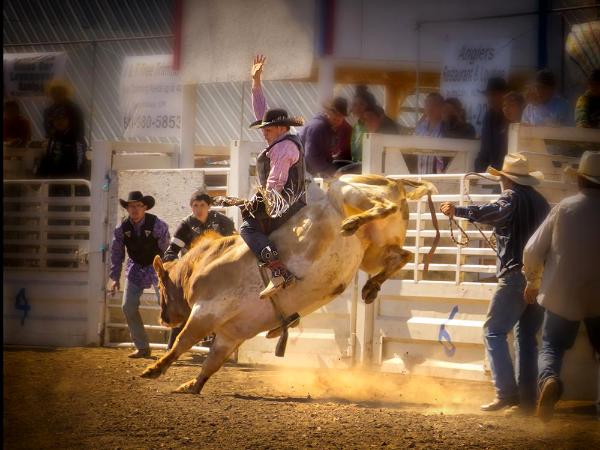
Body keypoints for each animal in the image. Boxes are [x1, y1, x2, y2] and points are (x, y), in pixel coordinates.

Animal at [143, 174, 438, 392]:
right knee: (402, 256)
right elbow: (212, 362)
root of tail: (394, 181)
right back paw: (370, 287)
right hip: (375, 249)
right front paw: (191, 385)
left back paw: (352, 222)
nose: (162, 318)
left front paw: (154, 369)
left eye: (161, 286)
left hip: (347, 190)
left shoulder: (206, 311)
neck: (204, 263)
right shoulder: (231, 333)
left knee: (382, 208)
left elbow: (182, 341)